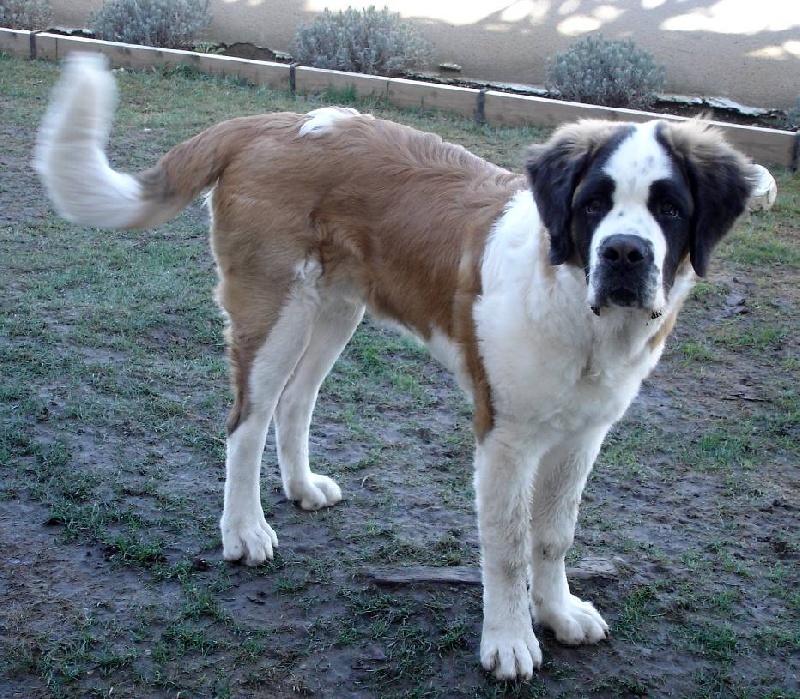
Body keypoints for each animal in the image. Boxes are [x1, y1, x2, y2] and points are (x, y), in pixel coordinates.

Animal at [35, 53, 758, 680]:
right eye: (592, 205)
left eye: (669, 208)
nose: (625, 254)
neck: (574, 304)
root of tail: (265, 124)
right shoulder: (506, 439)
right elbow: (507, 546)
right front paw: (509, 641)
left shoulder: (582, 436)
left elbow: (553, 534)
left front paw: (557, 612)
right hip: (275, 313)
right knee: (248, 418)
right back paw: (244, 530)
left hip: (335, 309)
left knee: (296, 401)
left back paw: (301, 487)